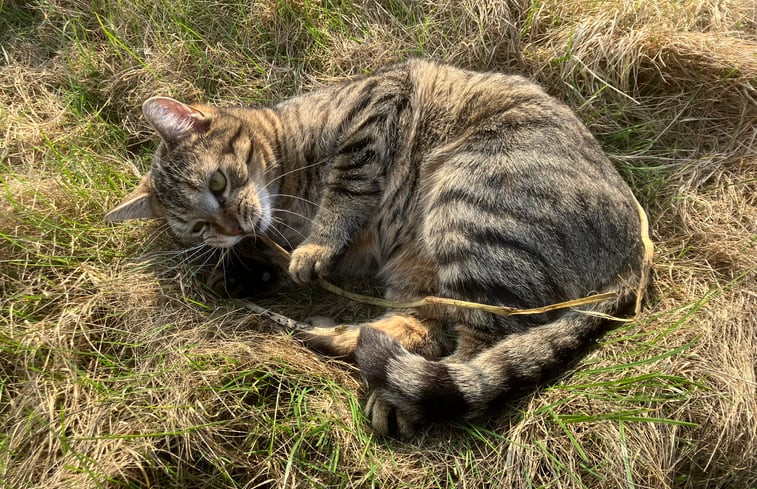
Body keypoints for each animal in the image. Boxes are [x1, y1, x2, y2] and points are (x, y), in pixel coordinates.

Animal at [106, 58, 648, 438]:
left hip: (472, 205)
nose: (232, 223)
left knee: (476, 347)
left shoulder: (376, 109)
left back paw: (392, 391)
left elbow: (343, 193)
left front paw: (310, 245)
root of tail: (635, 257)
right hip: (426, 263)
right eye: (199, 227)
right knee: (427, 329)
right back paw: (335, 336)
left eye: (218, 182)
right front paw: (245, 267)